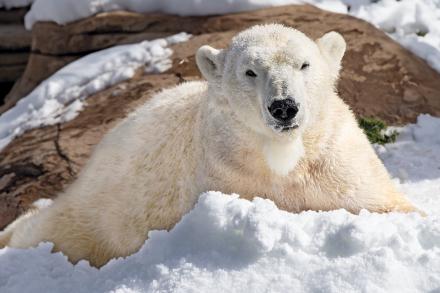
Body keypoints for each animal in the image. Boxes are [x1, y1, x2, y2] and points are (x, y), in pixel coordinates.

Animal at [0, 25, 418, 266]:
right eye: (250, 71)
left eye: (304, 65)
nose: (284, 106)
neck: (281, 155)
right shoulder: (226, 173)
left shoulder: (335, 159)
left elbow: (383, 203)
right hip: (101, 205)